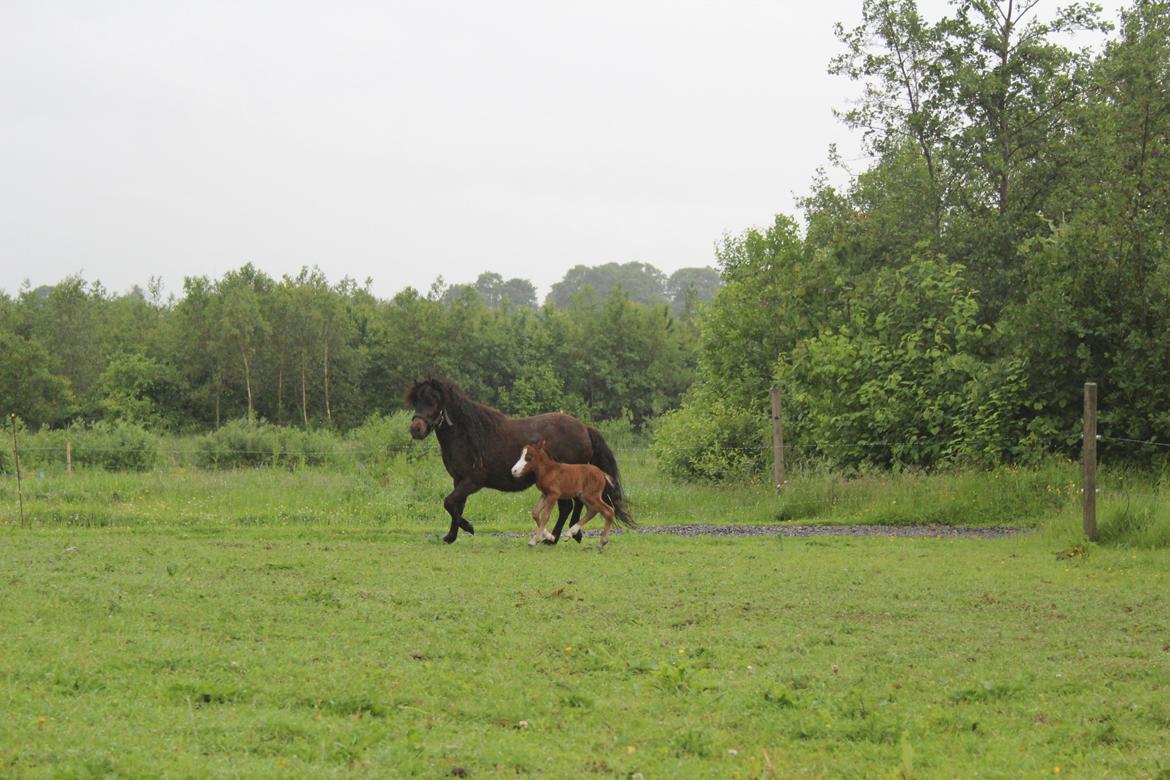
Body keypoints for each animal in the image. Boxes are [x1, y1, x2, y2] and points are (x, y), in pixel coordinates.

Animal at [409, 378, 636, 542]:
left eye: (433, 401)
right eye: (416, 401)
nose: (415, 429)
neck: (468, 435)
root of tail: (585, 428)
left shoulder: (472, 481)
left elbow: (449, 503)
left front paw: (468, 527)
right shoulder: (459, 480)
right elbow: (456, 505)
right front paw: (450, 536)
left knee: (572, 506)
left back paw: (561, 536)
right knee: (570, 507)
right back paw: (559, 536)